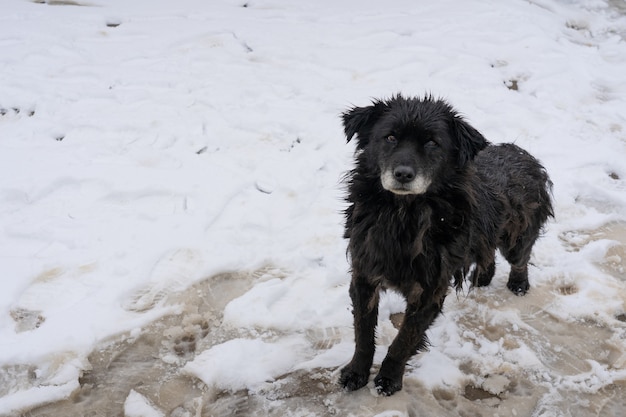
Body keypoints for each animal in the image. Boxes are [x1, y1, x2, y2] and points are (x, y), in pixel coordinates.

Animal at [336, 93, 552, 394]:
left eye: (432, 143)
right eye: (389, 137)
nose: (403, 174)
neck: (403, 215)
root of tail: (522, 152)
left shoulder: (430, 288)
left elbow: (405, 338)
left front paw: (389, 378)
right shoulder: (364, 274)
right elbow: (363, 332)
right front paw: (356, 372)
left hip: (516, 239)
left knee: (520, 259)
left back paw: (518, 284)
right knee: (488, 255)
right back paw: (482, 279)